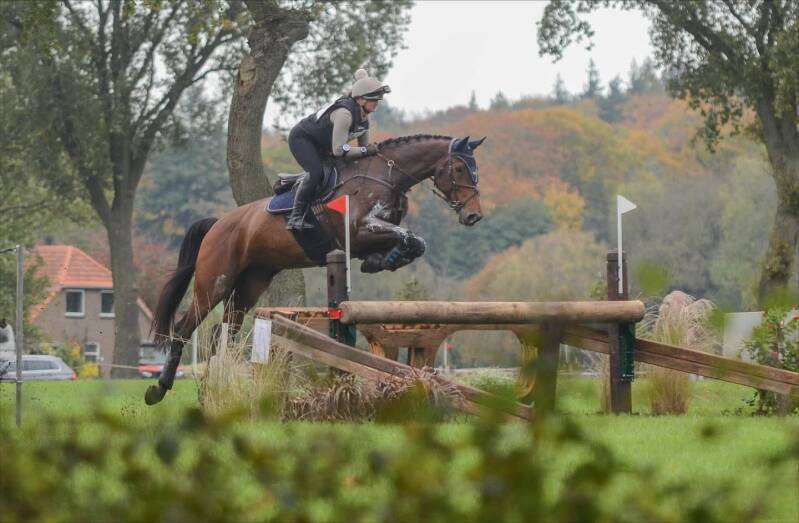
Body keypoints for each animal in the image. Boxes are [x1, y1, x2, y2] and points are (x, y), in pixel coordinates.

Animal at [145, 134, 486, 405]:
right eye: (459, 169)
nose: (474, 216)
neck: (384, 176)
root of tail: (218, 224)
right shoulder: (359, 231)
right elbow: (410, 237)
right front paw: (384, 260)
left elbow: (414, 242)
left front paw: (382, 261)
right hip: (215, 281)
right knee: (184, 328)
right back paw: (159, 390)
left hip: (252, 283)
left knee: (223, 332)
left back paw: (213, 389)